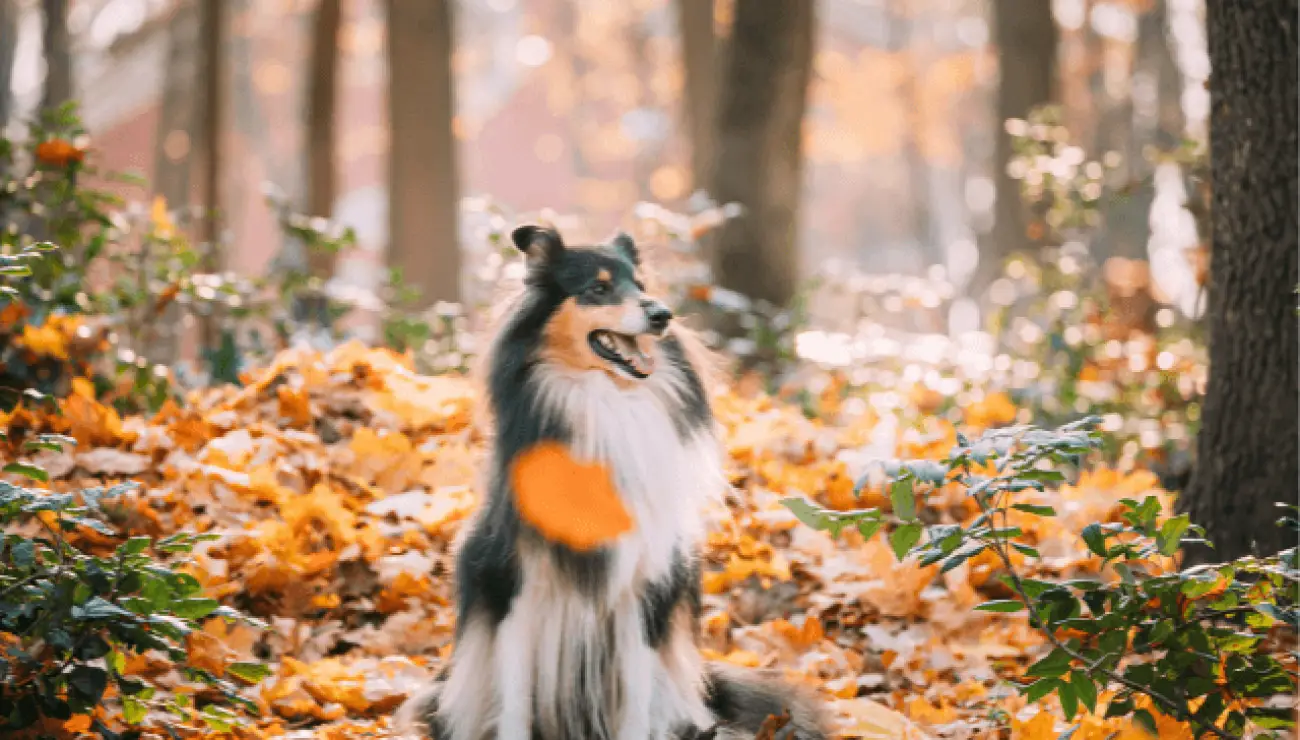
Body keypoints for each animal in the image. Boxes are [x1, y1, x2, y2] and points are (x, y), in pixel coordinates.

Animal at [390, 224, 826, 738]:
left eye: (640, 284)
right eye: (598, 289)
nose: (662, 315)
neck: (603, 398)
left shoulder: (641, 587)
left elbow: (635, 701)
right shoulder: (515, 584)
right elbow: (514, 700)